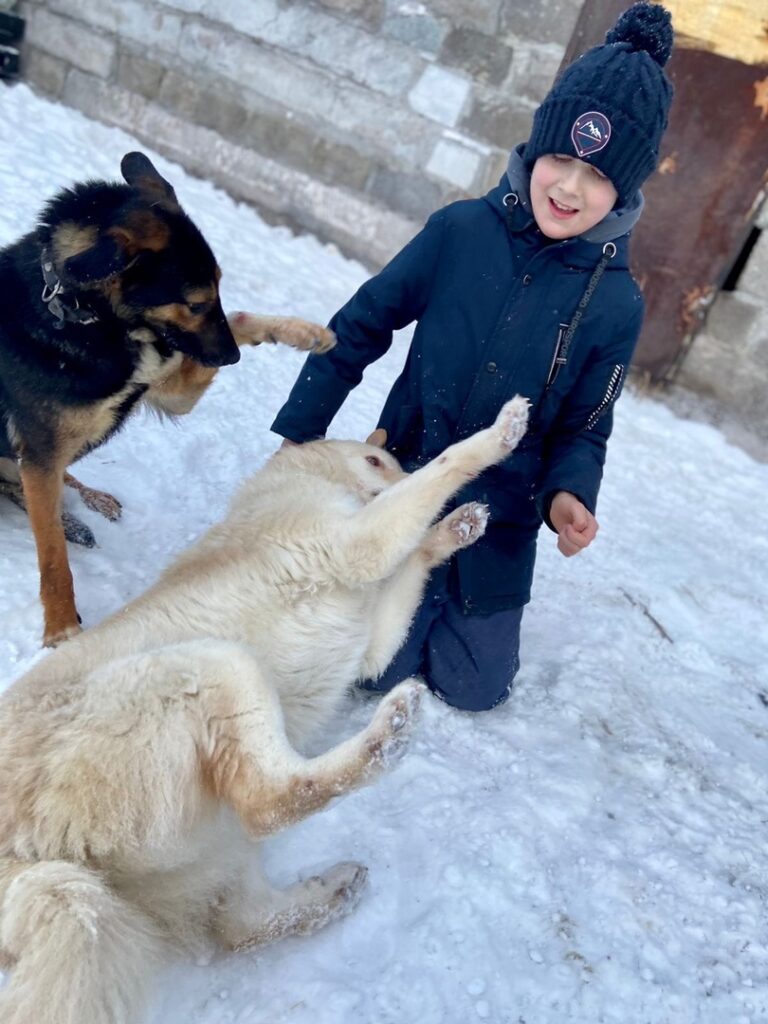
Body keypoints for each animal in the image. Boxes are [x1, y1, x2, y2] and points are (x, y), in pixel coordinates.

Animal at [0, 151, 335, 643]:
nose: (232, 357)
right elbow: (52, 557)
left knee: (56, 482)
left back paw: (91, 500)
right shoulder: (41, 453)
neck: (95, 323)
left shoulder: (172, 383)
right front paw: (61, 628)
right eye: (195, 303)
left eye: (219, 289)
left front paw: (301, 332)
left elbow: (238, 320)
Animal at [0, 395, 528, 1019]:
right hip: (216, 668)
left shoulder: (374, 640)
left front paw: (457, 527)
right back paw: (388, 737)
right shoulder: (357, 545)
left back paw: (334, 890)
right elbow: (443, 470)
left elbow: (417, 552)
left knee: (241, 923)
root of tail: (20, 854)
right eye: (376, 461)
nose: (395, 475)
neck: (305, 480)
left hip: (209, 850)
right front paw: (499, 434)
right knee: (273, 801)